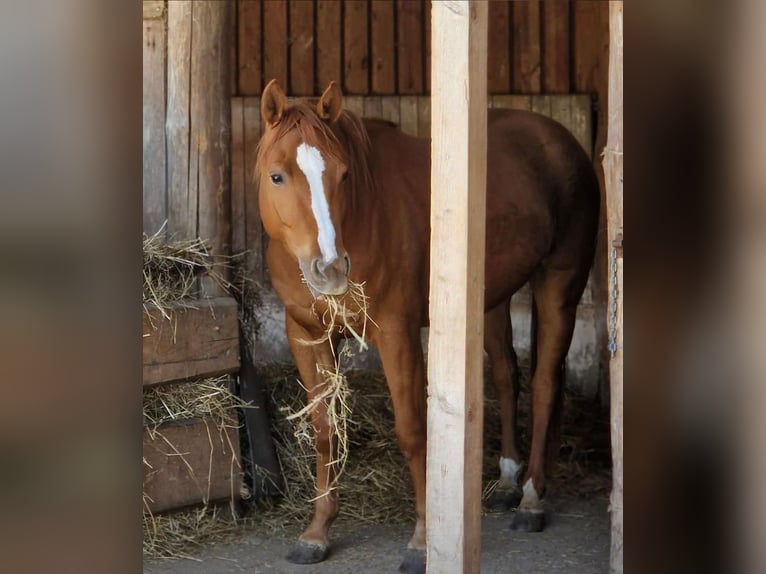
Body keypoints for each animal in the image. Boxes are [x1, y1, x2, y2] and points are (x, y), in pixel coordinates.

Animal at [255, 79, 599, 573]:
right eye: (277, 176)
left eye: (343, 175)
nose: (331, 268)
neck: (365, 212)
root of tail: (560, 139)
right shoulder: (305, 336)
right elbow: (325, 431)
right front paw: (316, 532)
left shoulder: (397, 335)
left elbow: (413, 432)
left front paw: (421, 542)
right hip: (489, 299)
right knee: (506, 375)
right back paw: (508, 483)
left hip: (559, 283)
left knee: (545, 385)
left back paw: (532, 500)